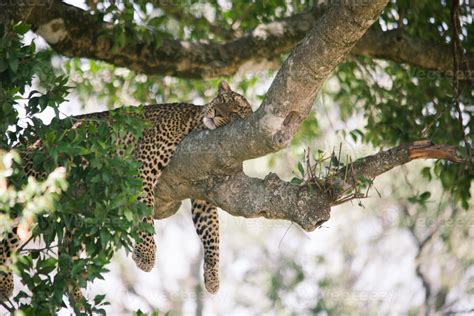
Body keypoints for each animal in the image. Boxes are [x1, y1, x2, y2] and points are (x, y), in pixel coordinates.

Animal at [0, 80, 254, 302]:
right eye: (222, 100)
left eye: (234, 113)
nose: (216, 113)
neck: (196, 126)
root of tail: (25, 144)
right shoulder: (143, 166)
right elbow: (145, 210)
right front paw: (146, 256)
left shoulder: (203, 193)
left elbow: (212, 235)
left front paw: (212, 278)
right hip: (32, 180)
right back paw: (5, 284)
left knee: (66, 253)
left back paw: (76, 296)